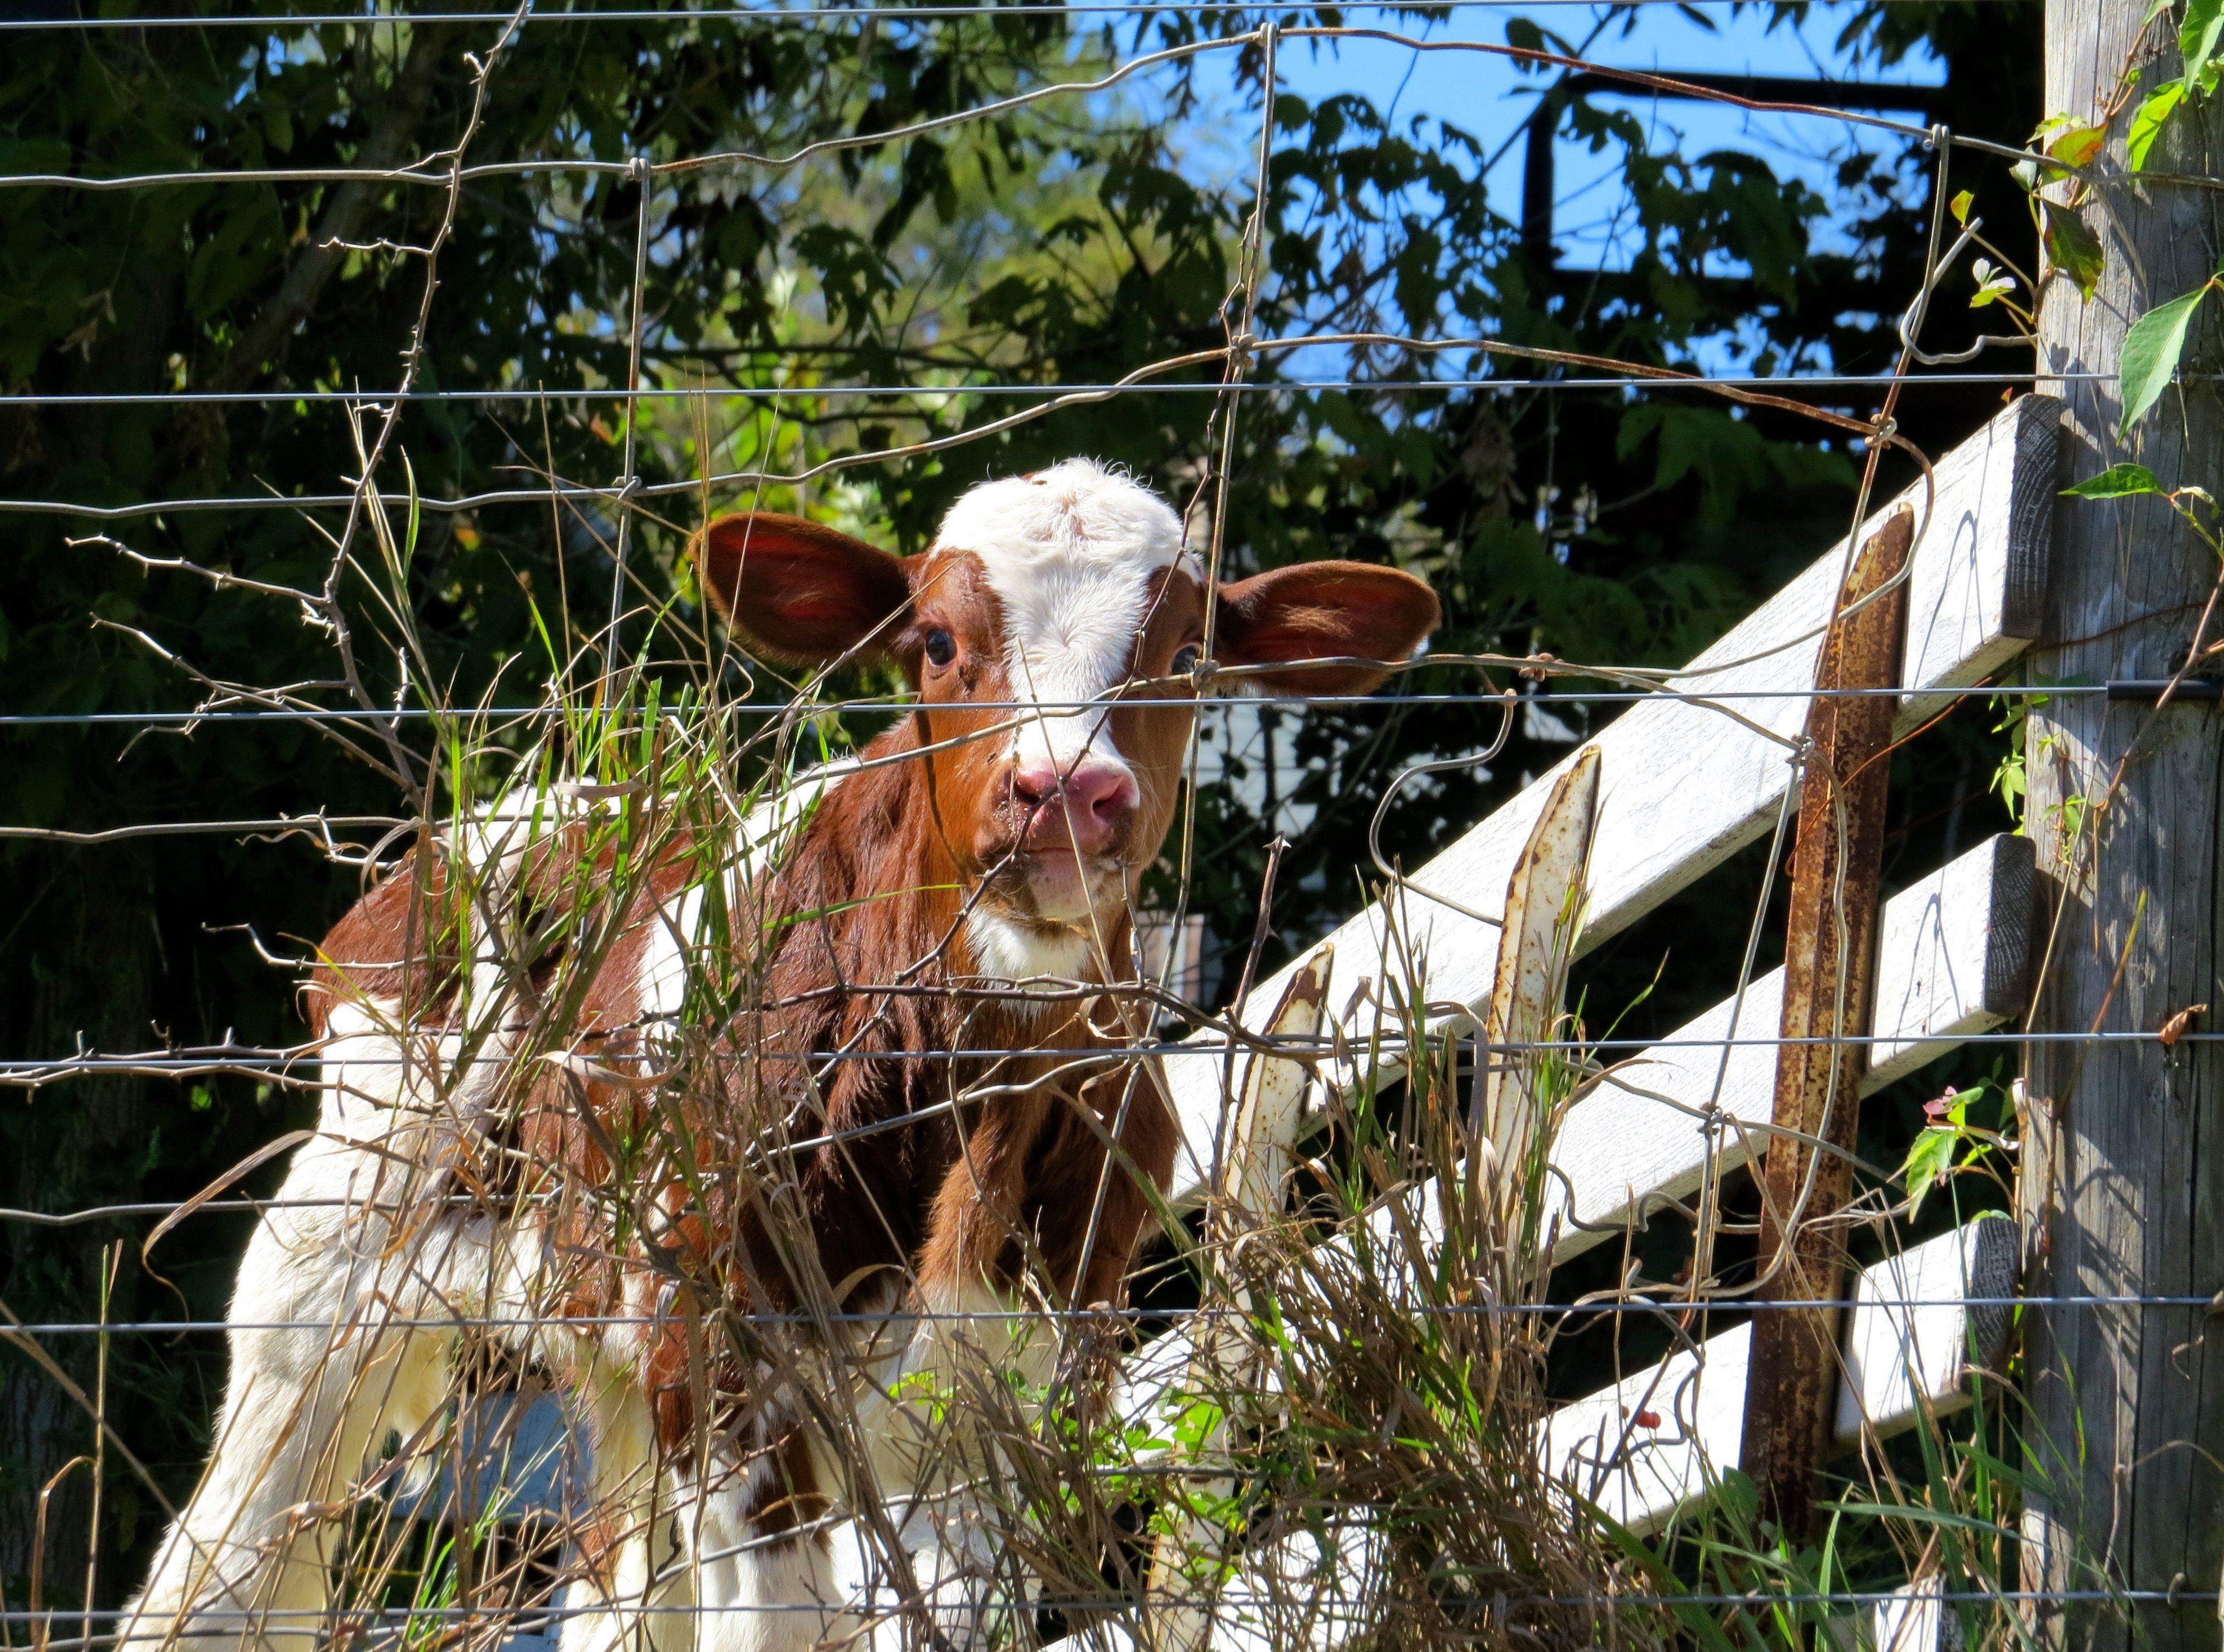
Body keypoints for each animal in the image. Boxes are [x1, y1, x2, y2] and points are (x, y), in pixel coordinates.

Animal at [119, 459, 1440, 1652]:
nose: (1064, 791)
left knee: (614, 1585)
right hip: (333, 1264)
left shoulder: (1023, 1375)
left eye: (1185, 658)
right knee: (218, 1567)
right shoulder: (733, 1364)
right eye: (937, 644)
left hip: (608, 1350)